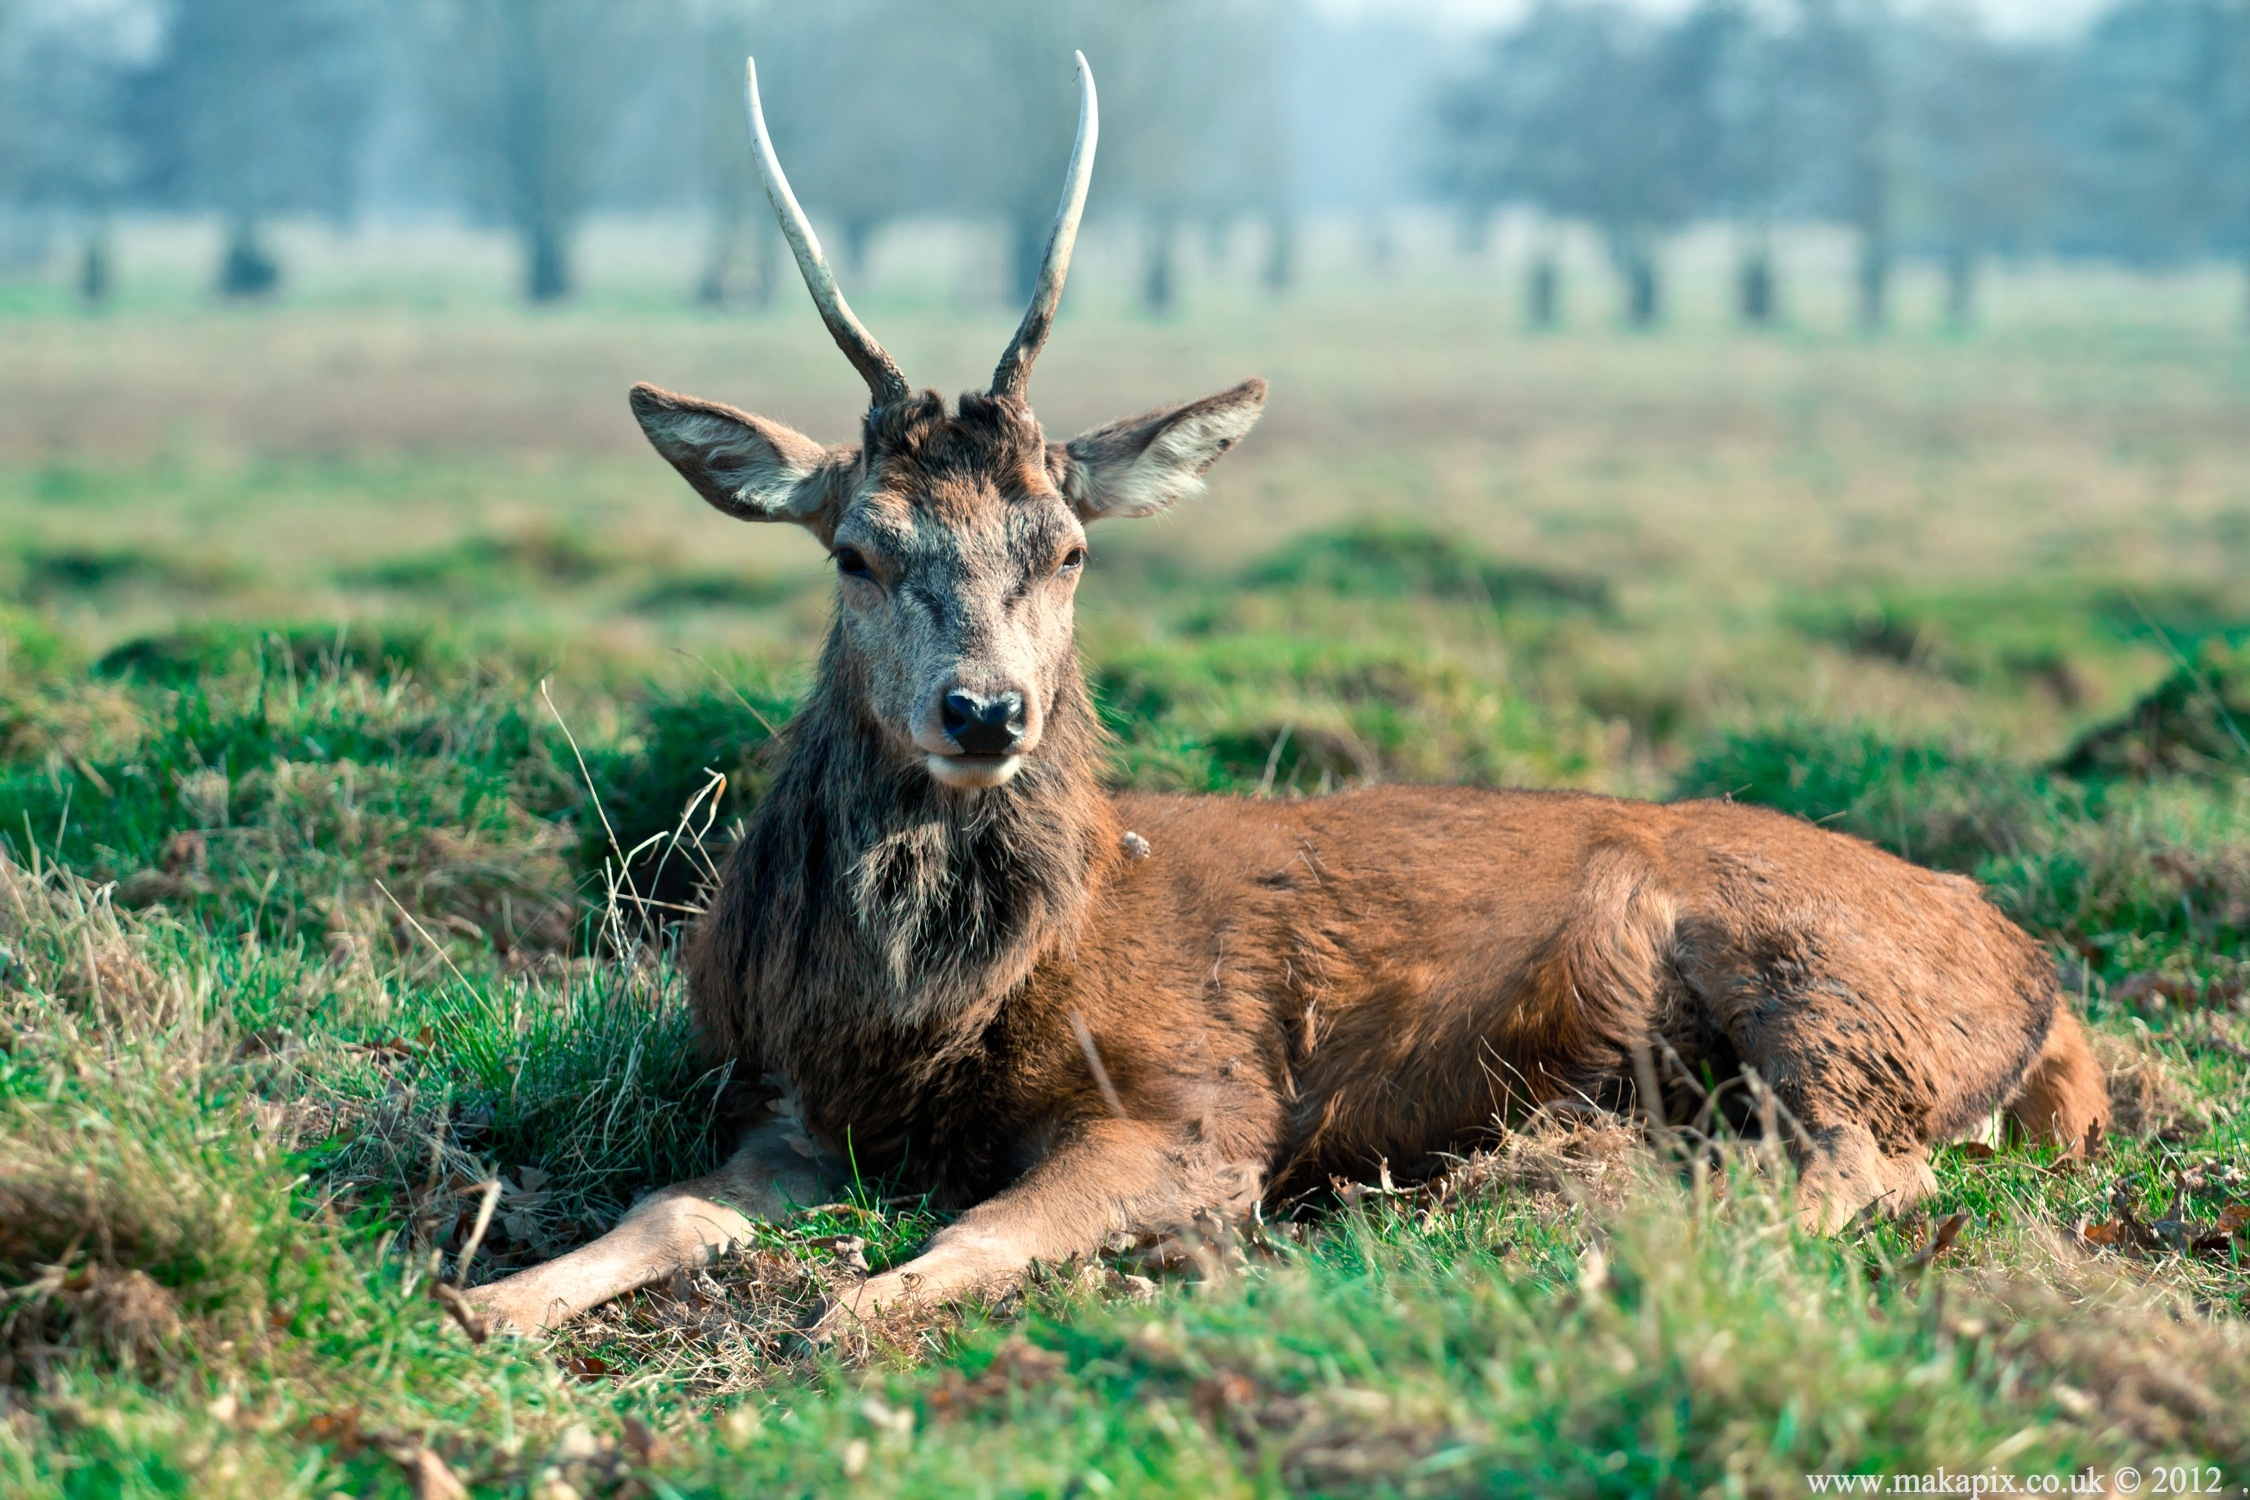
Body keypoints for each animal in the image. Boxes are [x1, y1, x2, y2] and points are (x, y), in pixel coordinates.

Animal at [465, 55, 2115, 1340]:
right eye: (859, 549)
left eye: (1066, 548)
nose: (984, 715)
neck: (934, 1012)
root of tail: (2042, 987)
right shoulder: (789, 1098)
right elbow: (668, 1209)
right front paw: (487, 1298)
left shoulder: (1202, 1094)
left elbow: (973, 1232)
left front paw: (845, 1309)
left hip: (1826, 991)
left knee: (1866, 1166)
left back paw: (1583, 1235)